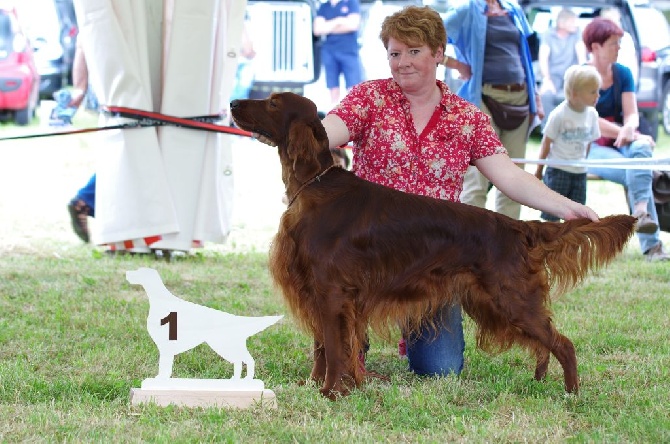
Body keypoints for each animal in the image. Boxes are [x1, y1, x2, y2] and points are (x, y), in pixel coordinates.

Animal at [234, 92, 636, 400]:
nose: (235, 102)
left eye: (272, 102)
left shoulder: (331, 292)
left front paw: (331, 392)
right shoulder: (316, 290)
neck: (313, 186)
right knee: (544, 343)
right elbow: (322, 347)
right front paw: (317, 385)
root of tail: (517, 225)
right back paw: (539, 382)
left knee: (563, 343)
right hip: (496, 302)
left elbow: (333, 349)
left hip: (511, 298)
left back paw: (571, 393)